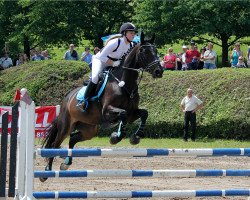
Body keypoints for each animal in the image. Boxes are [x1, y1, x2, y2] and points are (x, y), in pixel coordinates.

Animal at [39, 32, 163, 182]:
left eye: (156, 50)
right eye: (144, 52)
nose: (159, 71)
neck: (123, 83)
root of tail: (66, 99)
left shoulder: (132, 113)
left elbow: (143, 113)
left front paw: (135, 137)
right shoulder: (108, 111)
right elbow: (122, 114)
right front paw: (115, 137)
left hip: (89, 129)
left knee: (73, 139)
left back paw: (66, 163)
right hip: (65, 126)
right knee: (55, 145)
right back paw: (46, 172)